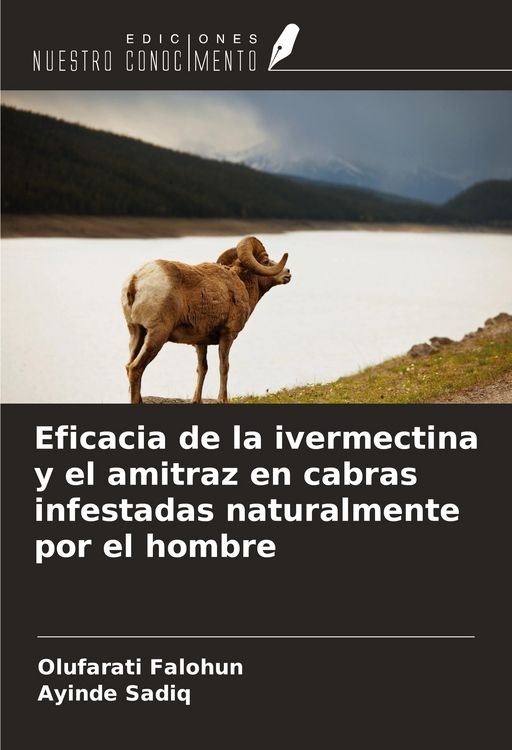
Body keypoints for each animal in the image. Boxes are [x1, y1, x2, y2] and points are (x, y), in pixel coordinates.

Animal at [121, 236, 291, 403]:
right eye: (265, 261)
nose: (288, 273)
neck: (241, 284)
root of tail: (135, 281)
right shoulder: (227, 335)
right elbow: (224, 366)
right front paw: (223, 399)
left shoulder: (200, 342)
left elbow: (202, 368)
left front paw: (197, 400)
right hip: (157, 335)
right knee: (136, 368)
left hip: (136, 334)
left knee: (129, 365)